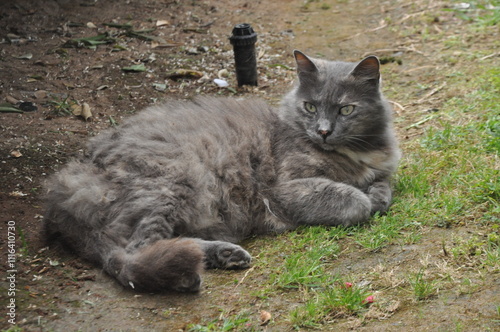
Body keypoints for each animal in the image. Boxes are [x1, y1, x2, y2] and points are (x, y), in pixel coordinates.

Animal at [45, 50, 400, 292]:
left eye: (346, 109)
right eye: (310, 107)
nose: (324, 131)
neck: (355, 151)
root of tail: (60, 194)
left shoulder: (382, 169)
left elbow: (384, 184)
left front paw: (378, 194)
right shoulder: (283, 188)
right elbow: (353, 200)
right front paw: (365, 199)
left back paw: (224, 255)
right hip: (175, 177)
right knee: (136, 253)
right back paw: (192, 272)